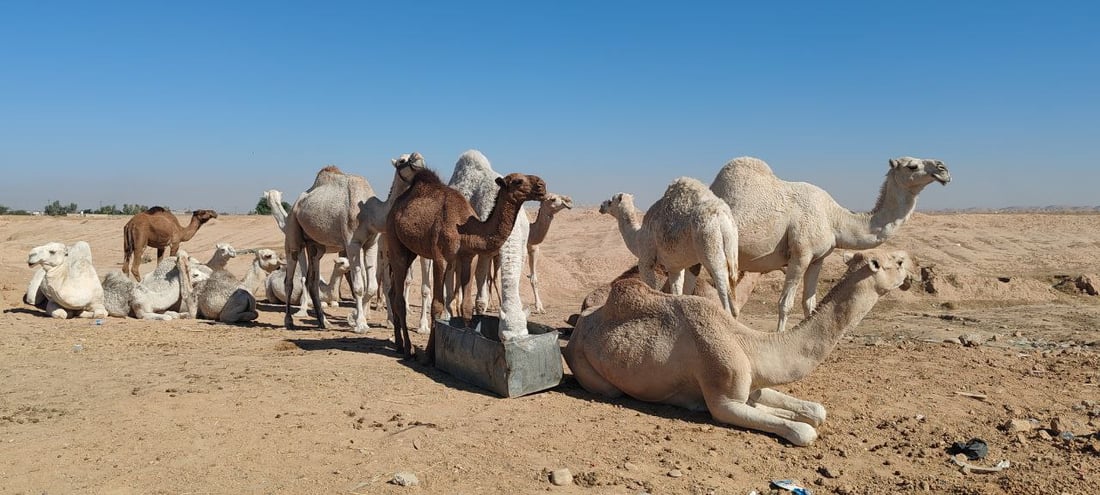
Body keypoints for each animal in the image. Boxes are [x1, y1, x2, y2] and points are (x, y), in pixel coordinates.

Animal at [279, 154, 424, 332]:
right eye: (402, 160)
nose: (419, 159)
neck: (370, 213)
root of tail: (296, 203)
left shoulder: (371, 244)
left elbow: (371, 286)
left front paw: (353, 318)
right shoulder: (352, 243)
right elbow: (358, 287)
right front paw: (360, 323)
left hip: (315, 245)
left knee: (312, 280)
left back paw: (324, 322)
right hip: (292, 231)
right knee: (289, 279)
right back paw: (289, 321)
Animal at [387, 168, 550, 360]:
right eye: (517, 181)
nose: (542, 186)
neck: (465, 229)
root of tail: (395, 206)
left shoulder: (468, 258)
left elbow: (466, 306)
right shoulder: (440, 258)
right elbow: (437, 306)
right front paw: (428, 355)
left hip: (409, 251)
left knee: (393, 292)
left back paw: (398, 343)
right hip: (394, 241)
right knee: (399, 299)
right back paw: (408, 348)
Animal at [563, 249, 915, 446]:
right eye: (897, 262)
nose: (911, 274)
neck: (750, 343)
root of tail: (579, 328)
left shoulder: (752, 382)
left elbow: (816, 411)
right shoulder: (725, 399)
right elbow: (803, 432)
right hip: (590, 371)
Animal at [602, 178, 739, 314]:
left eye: (610, 201)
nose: (601, 206)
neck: (637, 237)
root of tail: (722, 217)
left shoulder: (646, 259)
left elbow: (651, 286)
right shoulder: (675, 266)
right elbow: (677, 290)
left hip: (709, 241)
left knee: (720, 276)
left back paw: (726, 312)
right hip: (732, 245)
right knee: (731, 281)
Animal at [708, 156, 950, 330]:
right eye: (912, 166)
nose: (943, 169)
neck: (833, 219)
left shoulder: (818, 258)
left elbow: (809, 304)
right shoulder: (800, 255)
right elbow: (785, 304)